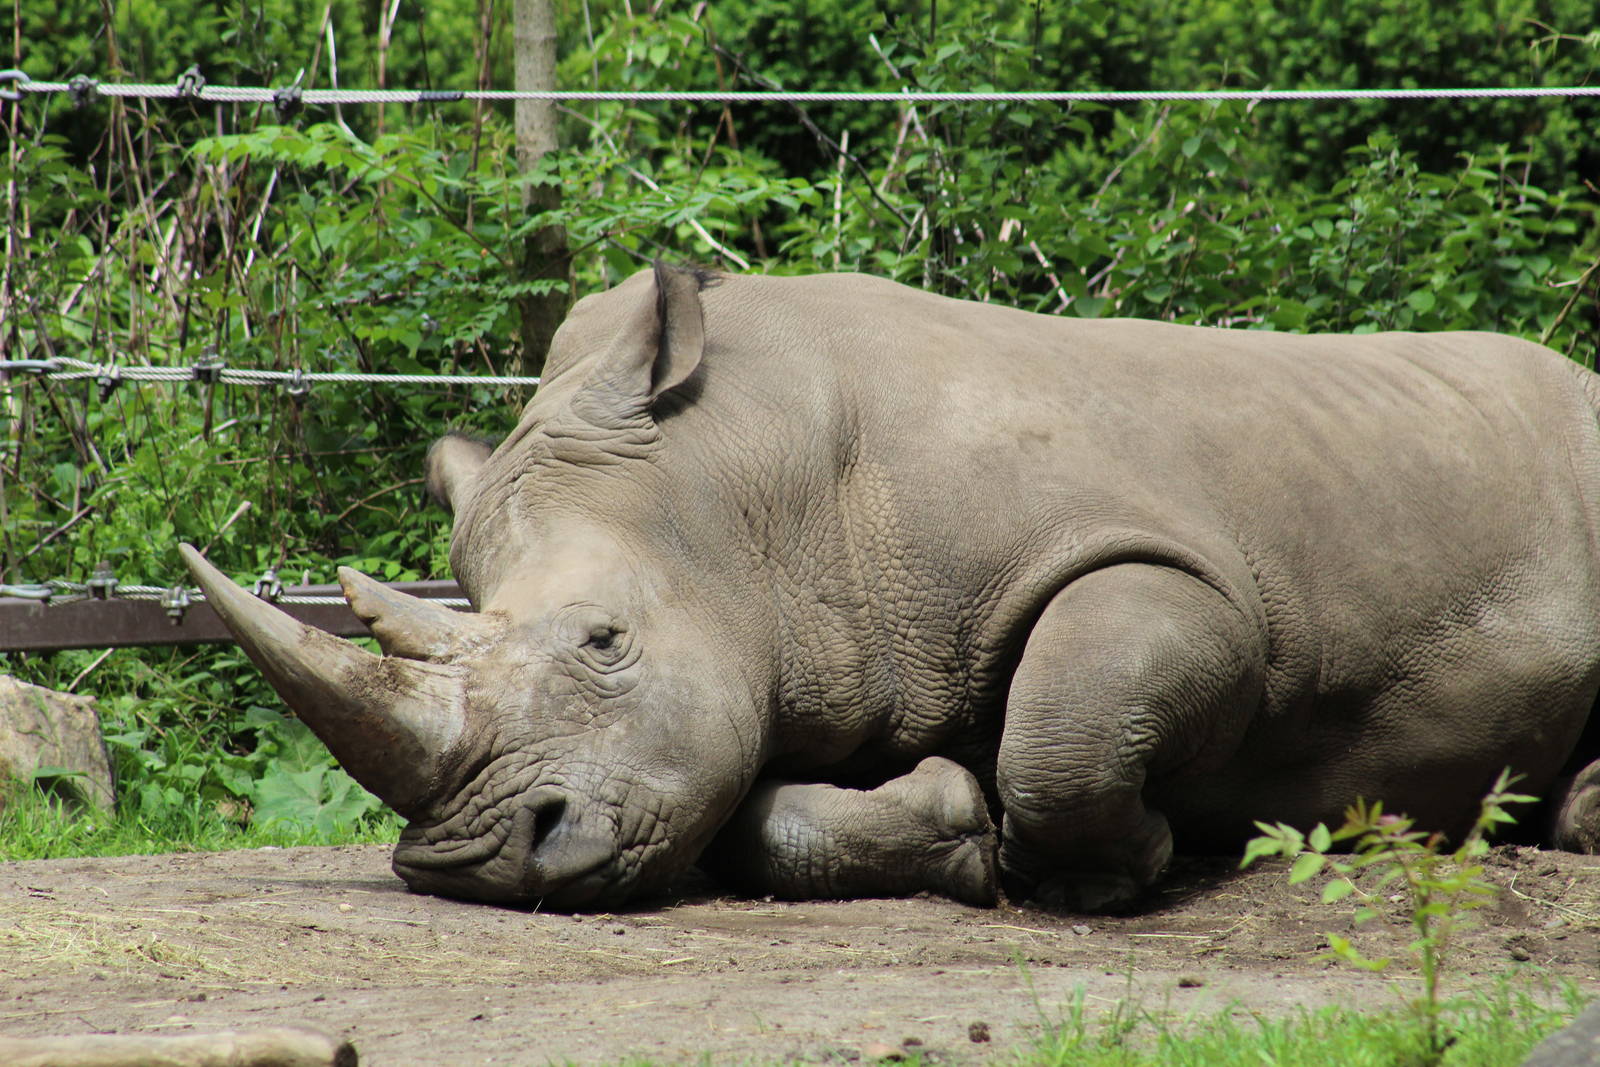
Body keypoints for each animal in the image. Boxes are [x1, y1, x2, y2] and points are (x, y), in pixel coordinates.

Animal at [181, 263, 1600, 912]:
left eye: (604, 639)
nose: (474, 865)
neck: (744, 484)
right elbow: (760, 819)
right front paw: (960, 821)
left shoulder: (1180, 573)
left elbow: (1067, 724)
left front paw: (1126, 860)